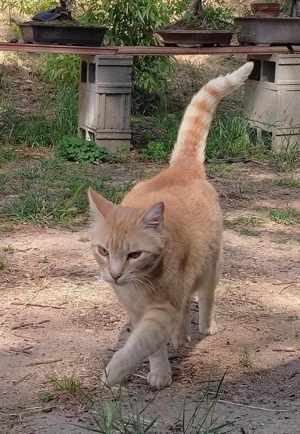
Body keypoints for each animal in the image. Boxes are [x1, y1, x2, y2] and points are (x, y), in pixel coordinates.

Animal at [88, 62, 253, 390]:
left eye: (134, 255)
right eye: (103, 250)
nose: (114, 275)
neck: (137, 285)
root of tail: (181, 168)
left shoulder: (160, 310)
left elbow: (140, 344)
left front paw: (116, 370)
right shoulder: (137, 311)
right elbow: (154, 346)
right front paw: (160, 369)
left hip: (211, 267)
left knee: (205, 298)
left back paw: (206, 326)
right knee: (186, 304)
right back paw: (180, 337)